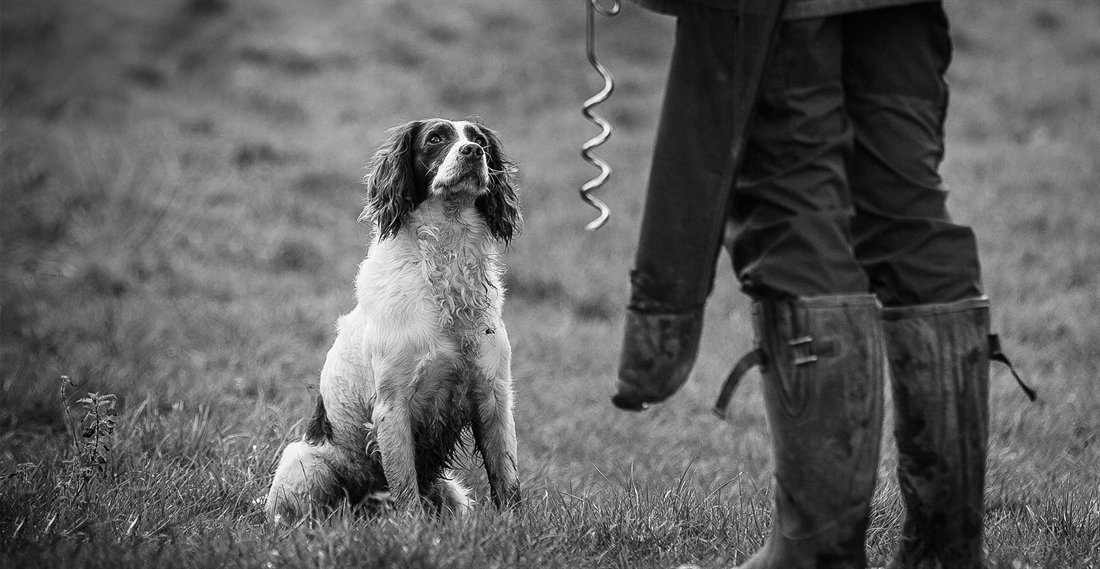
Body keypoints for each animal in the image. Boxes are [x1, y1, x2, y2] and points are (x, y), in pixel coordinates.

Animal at [266, 117, 523, 521]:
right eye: (435, 138)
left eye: (480, 140)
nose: (472, 152)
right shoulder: (393, 406)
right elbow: (405, 489)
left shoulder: (493, 396)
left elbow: (507, 481)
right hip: (305, 463)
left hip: (452, 492)